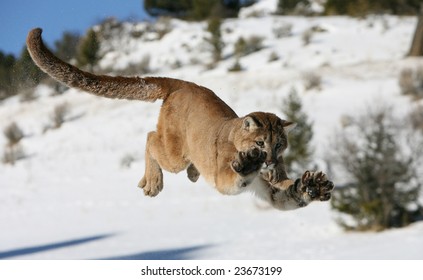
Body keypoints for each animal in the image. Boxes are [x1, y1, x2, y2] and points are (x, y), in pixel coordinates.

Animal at [25, 28, 334, 211]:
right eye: (260, 143)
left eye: (279, 145)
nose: (269, 161)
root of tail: (184, 83)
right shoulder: (224, 178)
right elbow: (238, 175)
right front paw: (248, 163)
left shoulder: (272, 189)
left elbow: (286, 193)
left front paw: (312, 186)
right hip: (174, 153)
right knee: (151, 137)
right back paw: (153, 181)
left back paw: (191, 173)